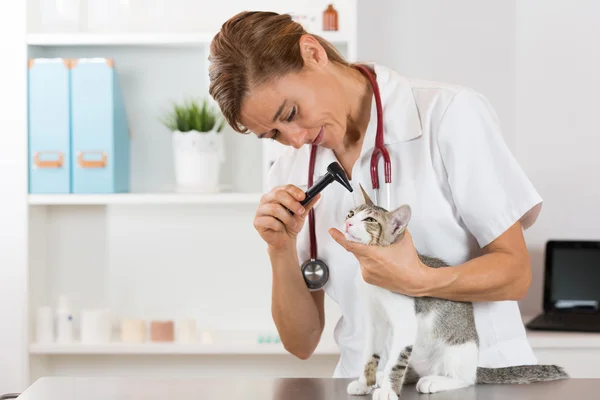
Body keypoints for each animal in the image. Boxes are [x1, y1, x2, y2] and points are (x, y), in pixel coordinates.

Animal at [342, 186, 568, 398]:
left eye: (370, 220)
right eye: (351, 213)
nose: (348, 223)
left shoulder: (406, 321)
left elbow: (396, 361)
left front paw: (388, 390)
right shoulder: (374, 321)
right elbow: (369, 354)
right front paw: (364, 383)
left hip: (458, 352)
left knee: (465, 380)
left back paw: (435, 381)